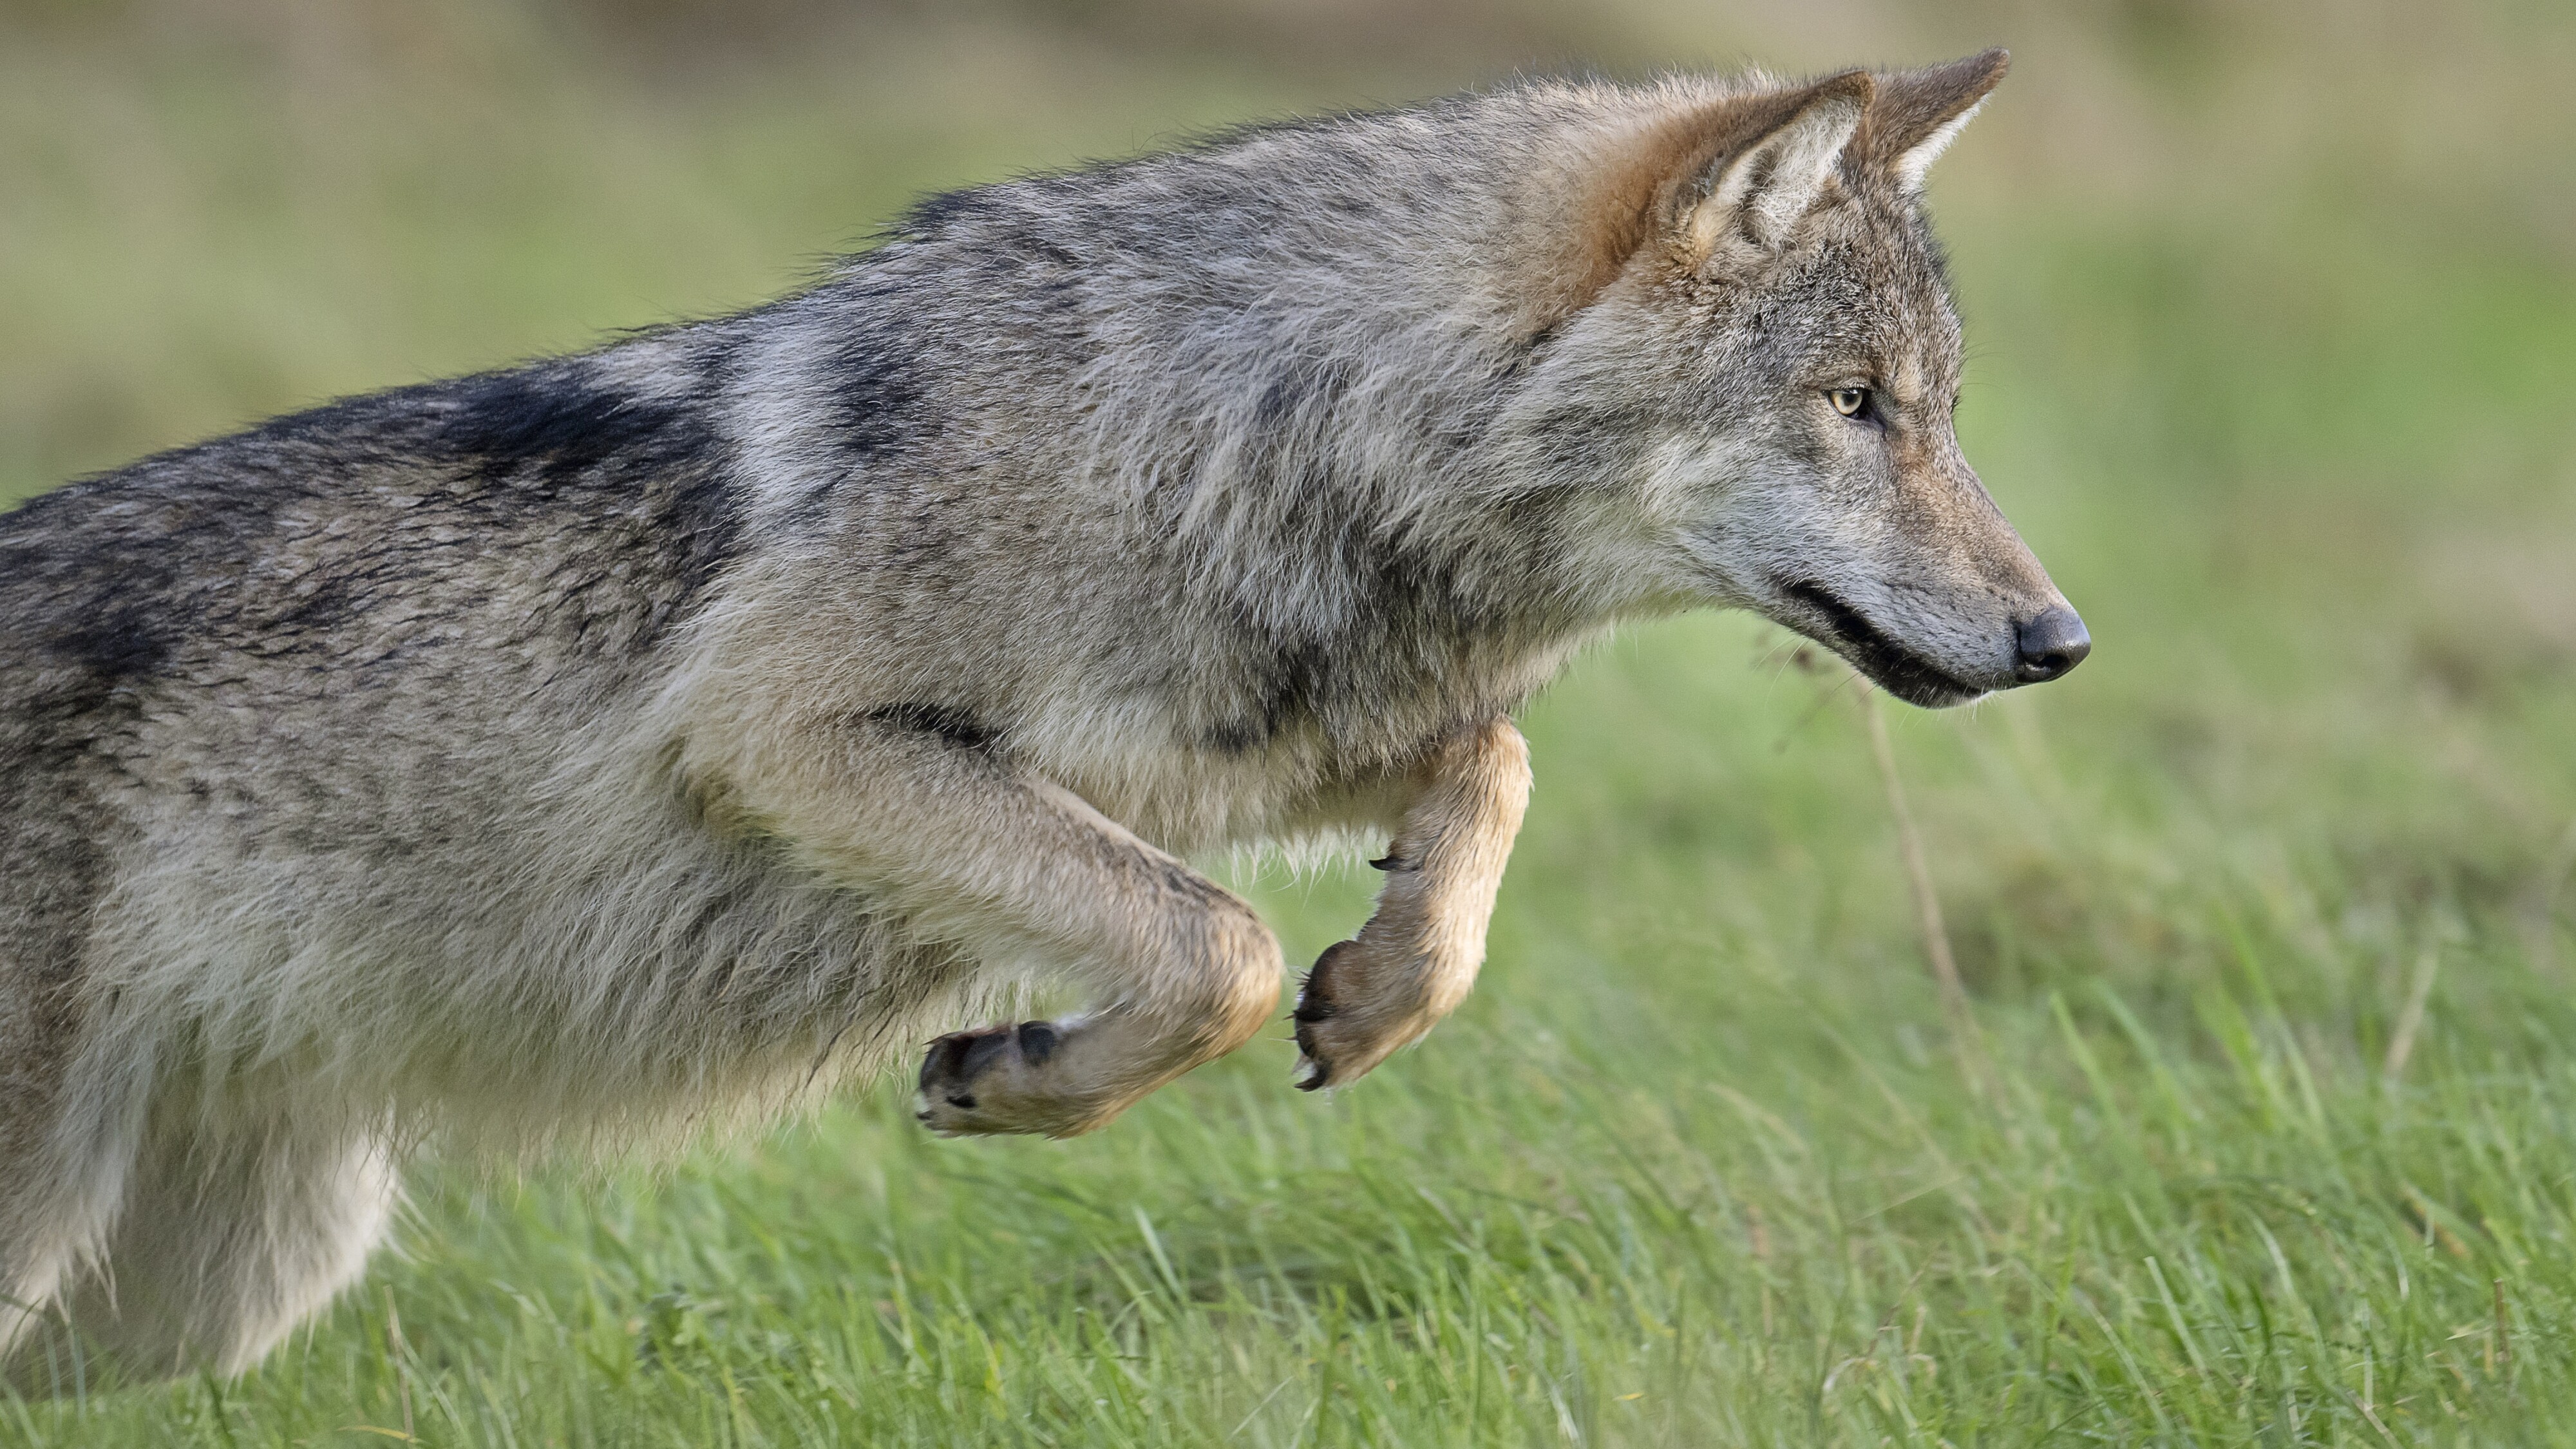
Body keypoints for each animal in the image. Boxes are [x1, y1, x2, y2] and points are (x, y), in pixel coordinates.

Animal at [0, 50, 2085, 1381]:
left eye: (1938, 407)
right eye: (1852, 406)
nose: (2059, 638)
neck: (1249, 416)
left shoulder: (1215, 748)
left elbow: (1480, 771)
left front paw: (1384, 984)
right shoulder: (794, 739)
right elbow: (1218, 949)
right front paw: (1021, 1077)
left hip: (208, 1293)